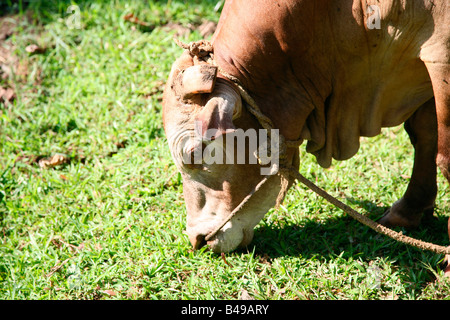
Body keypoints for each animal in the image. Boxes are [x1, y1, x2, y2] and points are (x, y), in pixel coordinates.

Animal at [162, 0, 450, 260]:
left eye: (194, 153)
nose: (197, 239)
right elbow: (423, 133)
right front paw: (409, 210)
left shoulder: (440, 57)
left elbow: (444, 157)